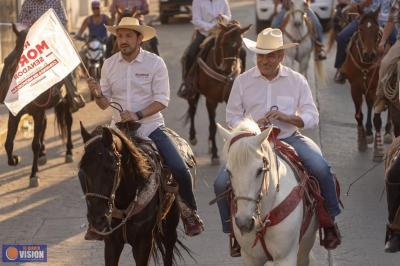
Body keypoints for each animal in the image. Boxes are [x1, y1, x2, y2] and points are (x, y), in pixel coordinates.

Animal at [0, 24, 73, 187]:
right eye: (7, 60)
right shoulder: (15, 115)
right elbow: (8, 143)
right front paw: (15, 159)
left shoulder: (38, 112)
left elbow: (34, 144)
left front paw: (33, 175)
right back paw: (43, 155)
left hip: (66, 101)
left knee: (68, 122)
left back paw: (69, 151)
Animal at [79, 123, 191, 264]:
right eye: (83, 169)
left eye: (112, 168)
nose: (97, 221)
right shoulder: (111, 243)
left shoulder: (143, 243)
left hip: (170, 223)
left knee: (169, 249)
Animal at [184, 21, 250, 164]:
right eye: (223, 42)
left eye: (240, 45)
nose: (228, 69)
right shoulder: (211, 100)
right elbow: (213, 126)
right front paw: (215, 154)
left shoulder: (230, 98)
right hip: (192, 92)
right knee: (192, 109)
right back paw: (193, 137)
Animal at [217, 119, 318, 264]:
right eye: (229, 172)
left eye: (260, 170)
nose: (244, 222)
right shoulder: (250, 258)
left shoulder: (286, 258)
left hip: (306, 245)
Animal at [340, 8, 392, 161]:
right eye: (360, 29)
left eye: (376, 30)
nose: (369, 55)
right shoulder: (355, 87)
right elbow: (359, 115)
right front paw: (362, 141)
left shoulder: (376, 88)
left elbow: (377, 119)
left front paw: (378, 150)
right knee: (369, 105)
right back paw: (369, 132)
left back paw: (388, 132)